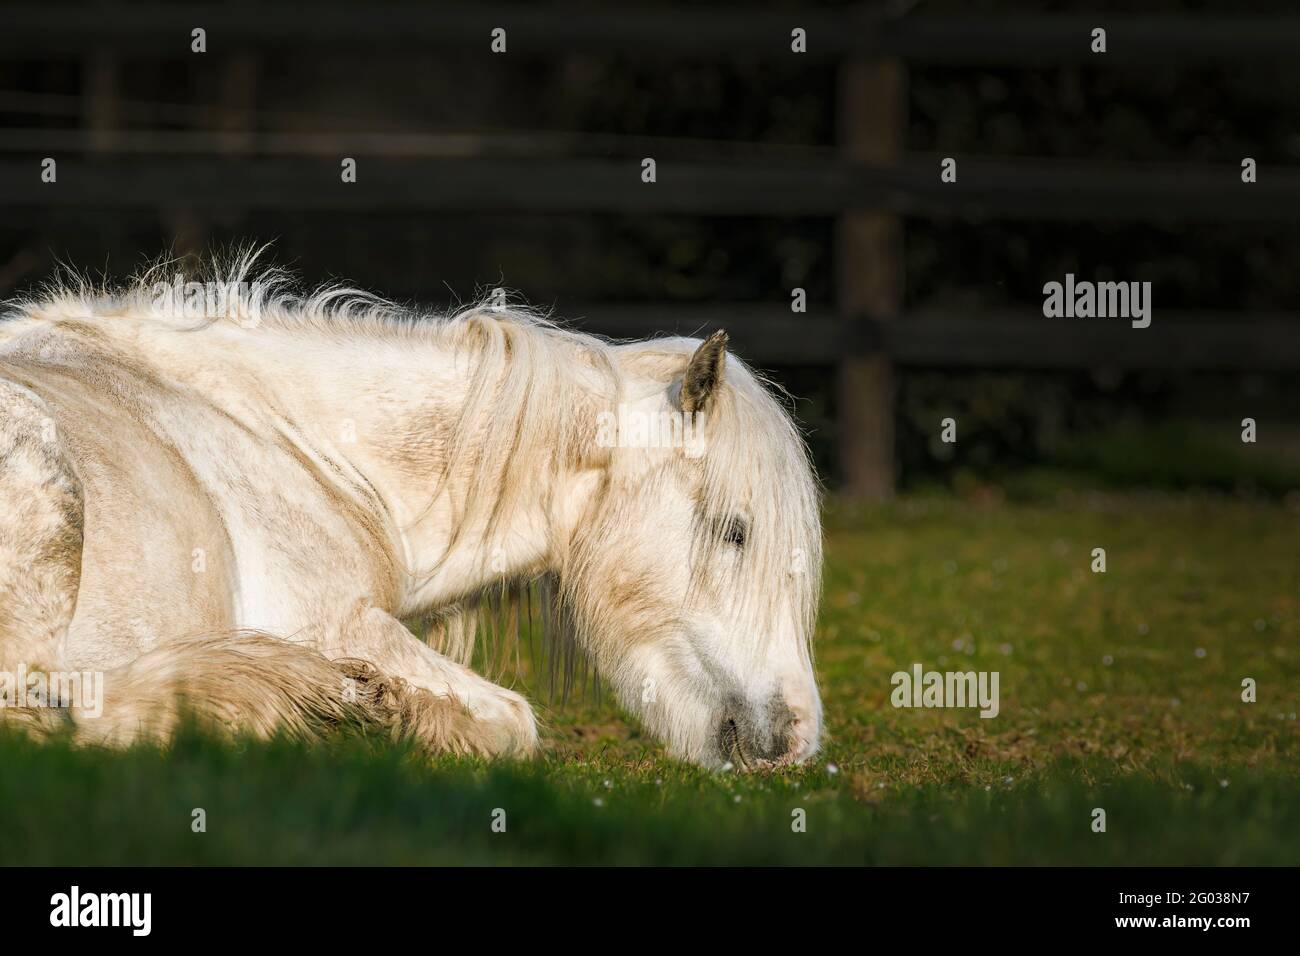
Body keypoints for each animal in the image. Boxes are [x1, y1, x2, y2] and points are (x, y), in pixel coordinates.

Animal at [0, 253, 823, 769]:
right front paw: (374, 715)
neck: (286, 437)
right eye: (735, 530)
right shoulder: (337, 621)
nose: (797, 738)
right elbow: (512, 722)